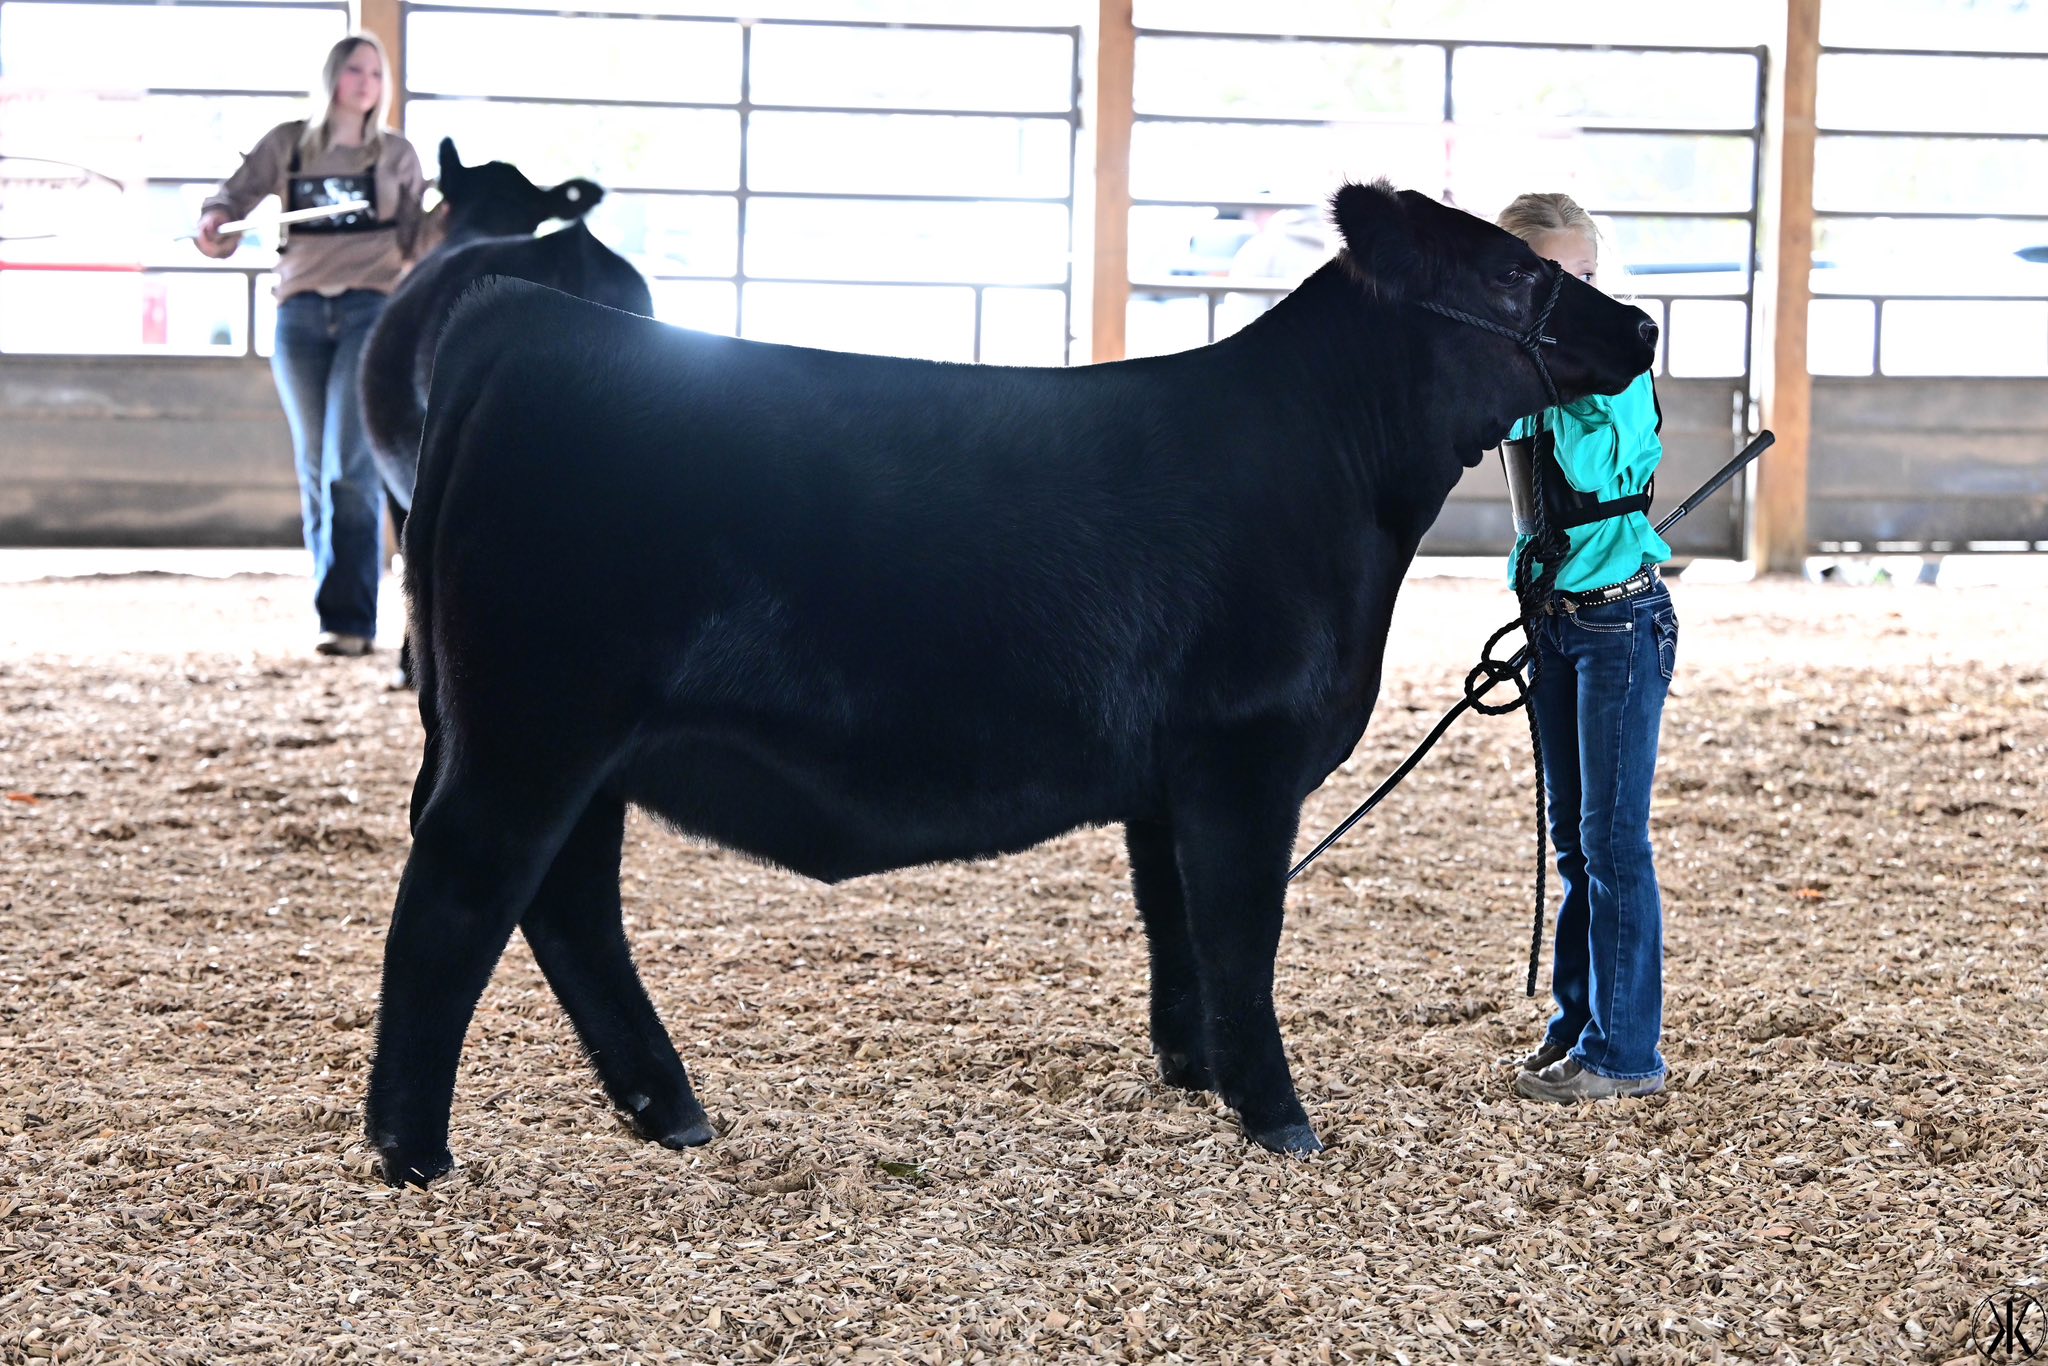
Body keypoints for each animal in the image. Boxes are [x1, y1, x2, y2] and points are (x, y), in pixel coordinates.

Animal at [364, 180, 1659, 1187]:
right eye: (1510, 273)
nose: (1641, 324)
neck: (1332, 469)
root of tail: (519, 318)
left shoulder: (1168, 780)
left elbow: (1177, 927)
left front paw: (1192, 1073)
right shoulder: (1241, 759)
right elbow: (1241, 934)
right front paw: (1277, 1116)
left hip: (568, 747)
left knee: (566, 901)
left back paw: (664, 1108)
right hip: (532, 730)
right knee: (461, 895)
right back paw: (412, 1149)